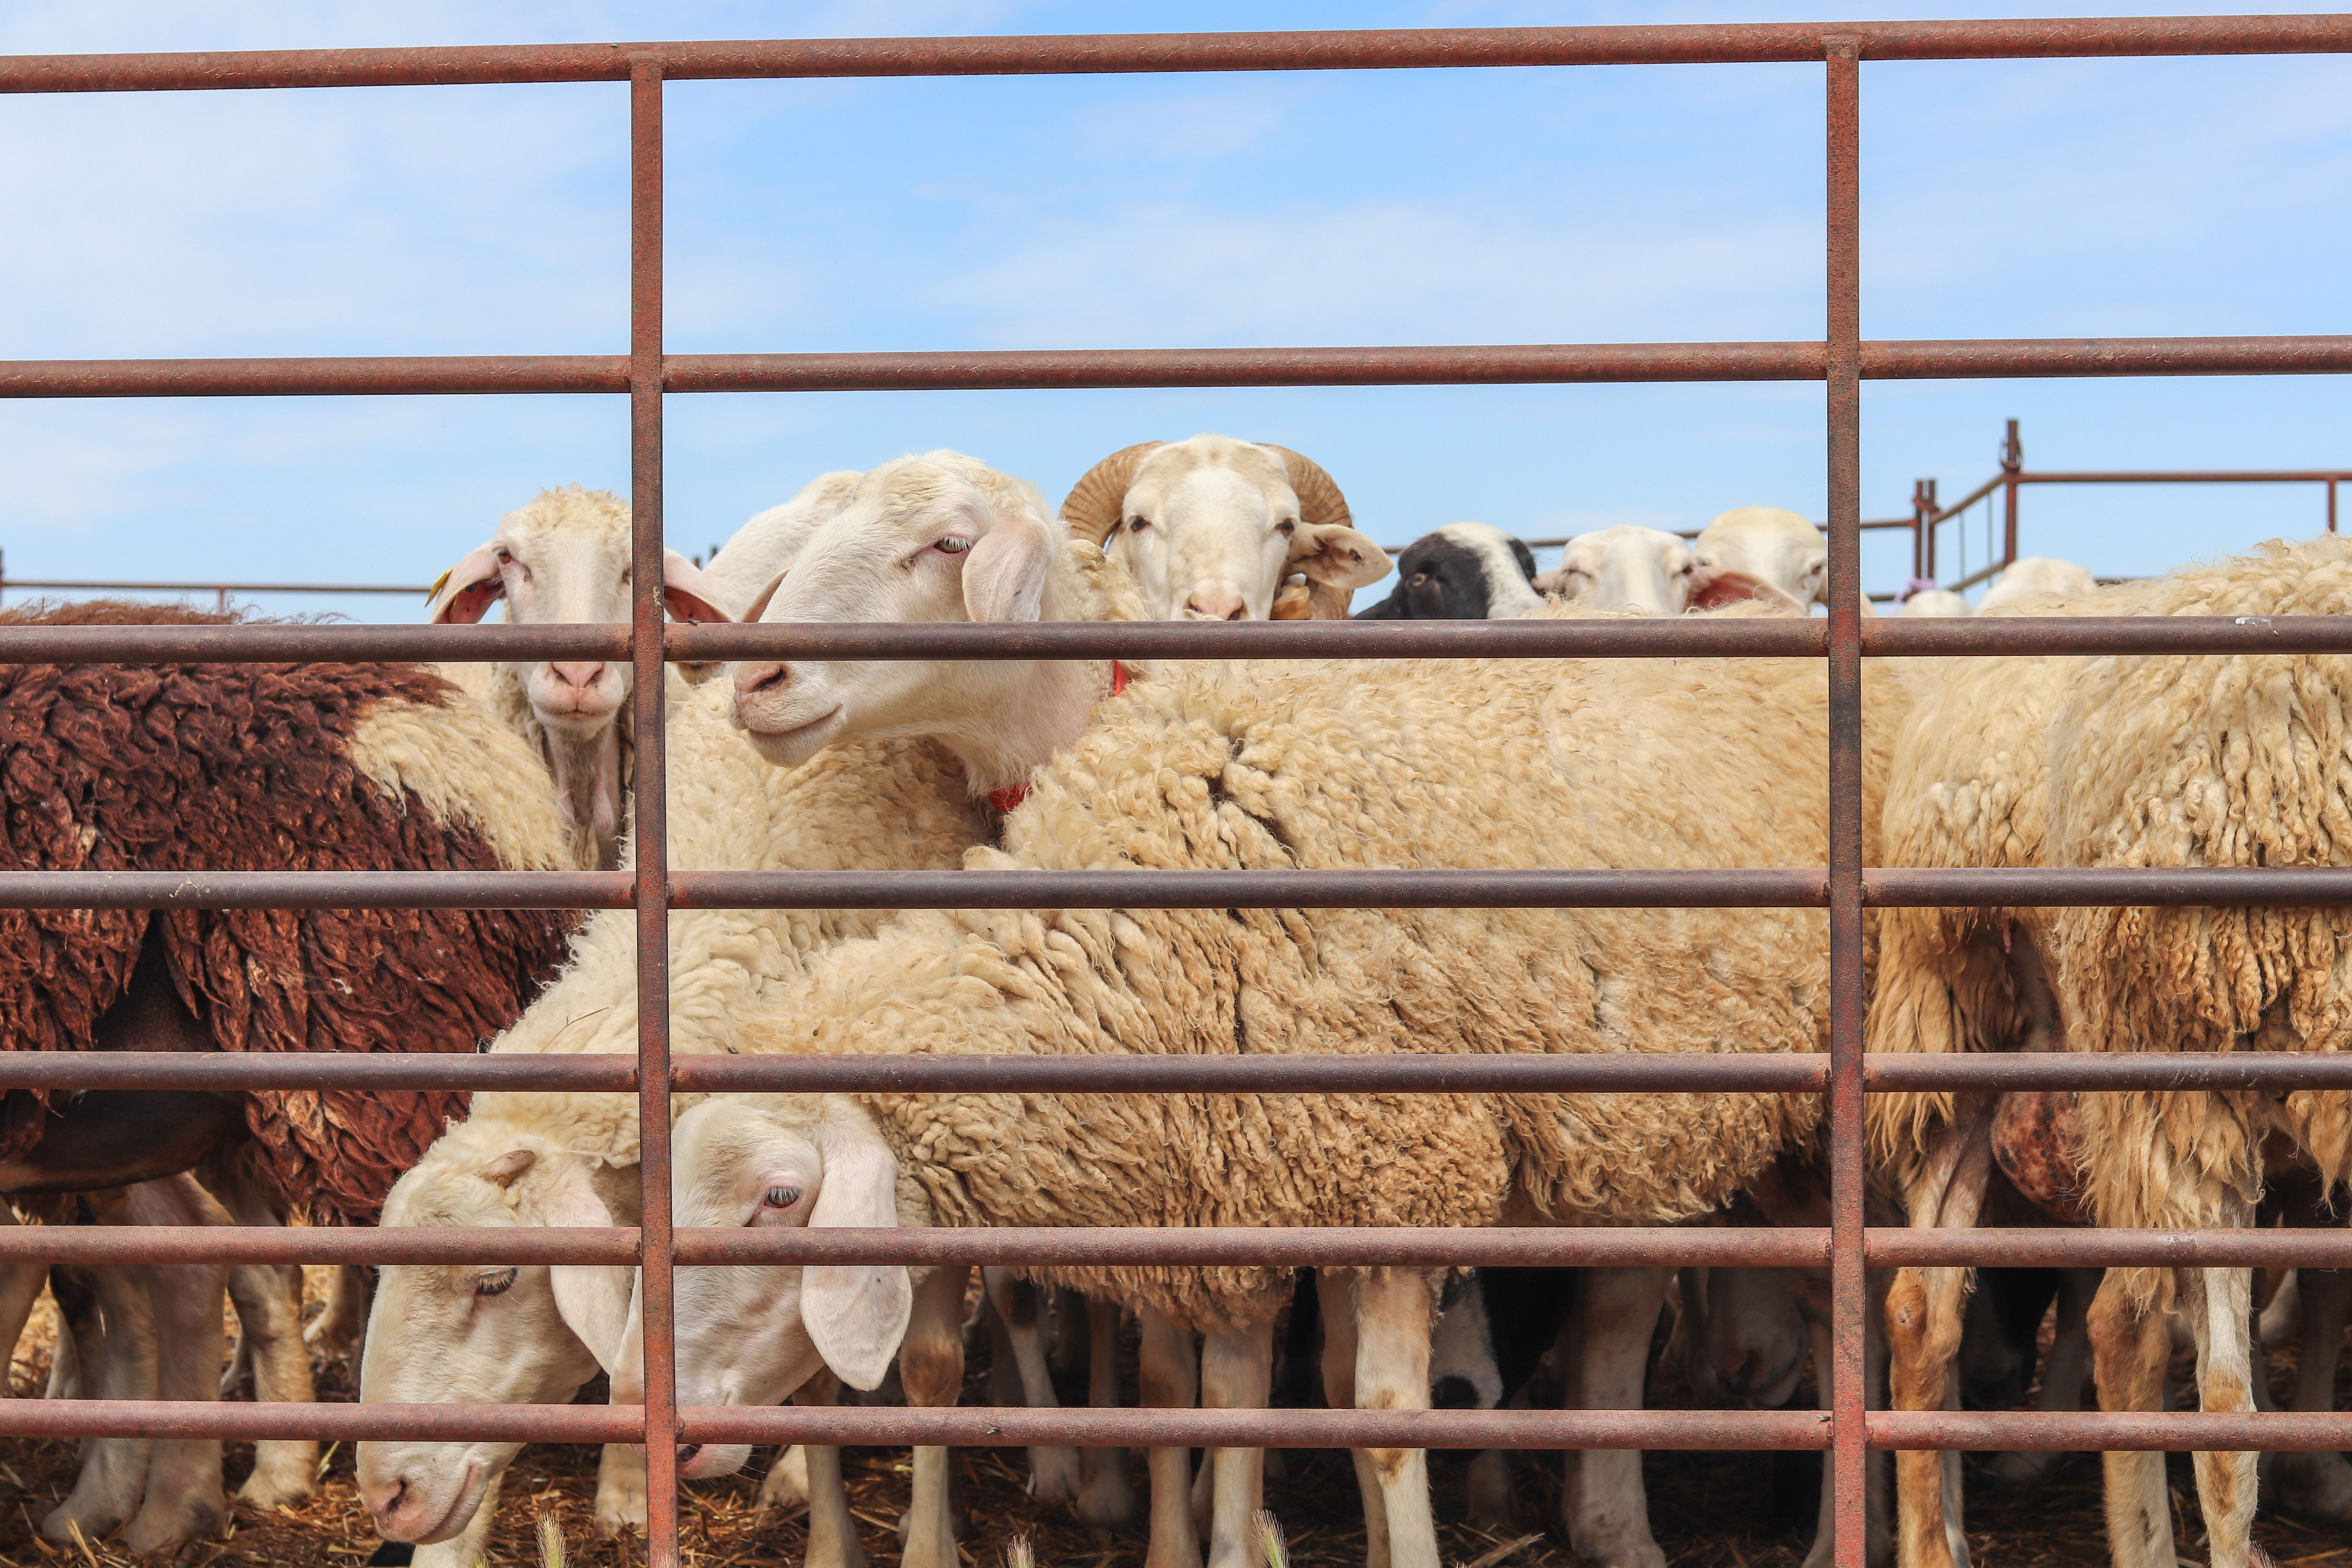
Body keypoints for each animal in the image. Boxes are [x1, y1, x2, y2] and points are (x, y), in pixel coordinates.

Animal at [1869, 537, 2352, 1568]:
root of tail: (1996, 794)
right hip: (2186, 1078)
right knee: (2162, 1353)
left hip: (1961, 1031)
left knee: (1925, 1306)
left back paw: (1937, 1541)